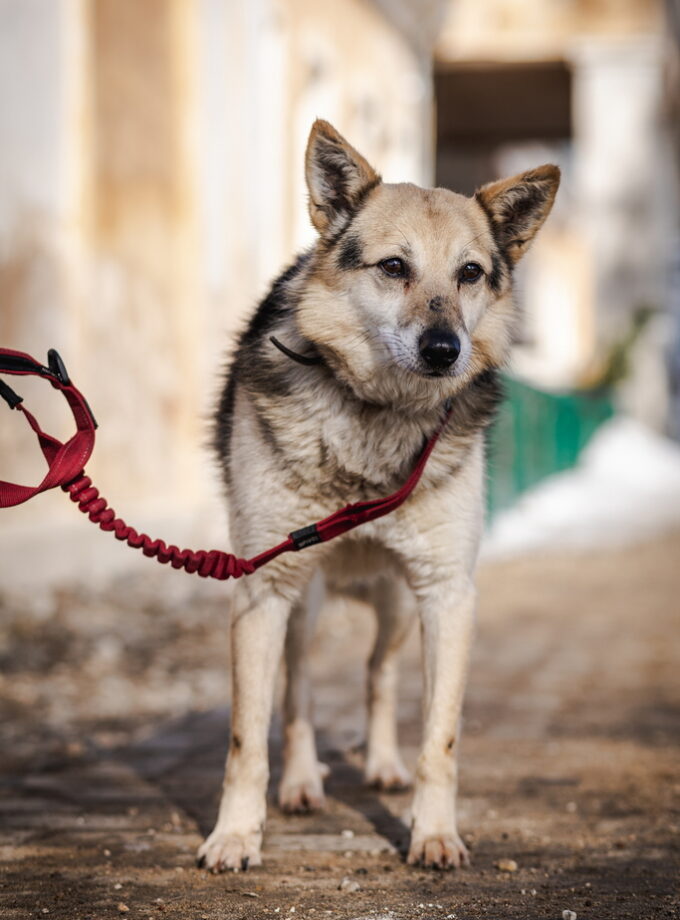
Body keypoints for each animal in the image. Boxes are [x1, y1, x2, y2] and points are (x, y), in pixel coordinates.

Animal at [198, 120, 559, 872]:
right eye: (394, 267)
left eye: (470, 273)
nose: (445, 349)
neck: (378, 418)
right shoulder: (263, 588)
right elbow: (247, 738)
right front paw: (235, 835)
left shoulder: (447, 593)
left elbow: (440, 739)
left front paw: (433, 832)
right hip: (301, 605)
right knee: (301, 691)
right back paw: (301, 783)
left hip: (396, 605)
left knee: (378, 674)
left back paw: (384, 765)